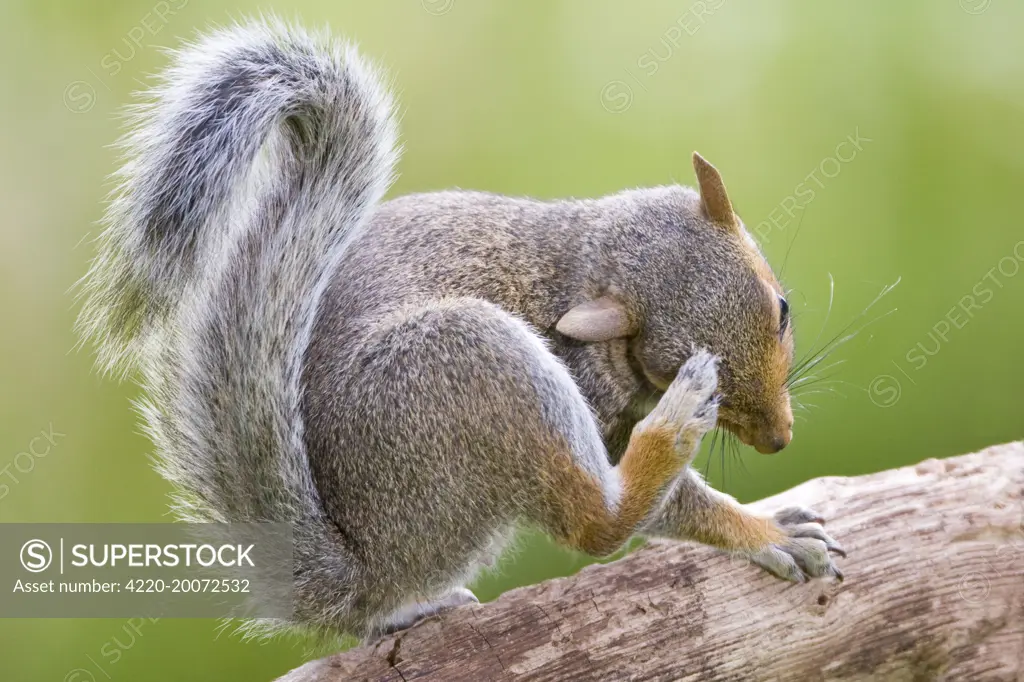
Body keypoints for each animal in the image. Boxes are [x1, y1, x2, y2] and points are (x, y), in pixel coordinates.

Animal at [77, 19, 847, 638]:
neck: (588, 265)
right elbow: (664, 510)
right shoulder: (599, 408)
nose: (779, 440)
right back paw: (673, 432)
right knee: (597, 523)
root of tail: (369, 563)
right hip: (474, 364)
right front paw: (766, 532)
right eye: (671, 357)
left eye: (781, 310)